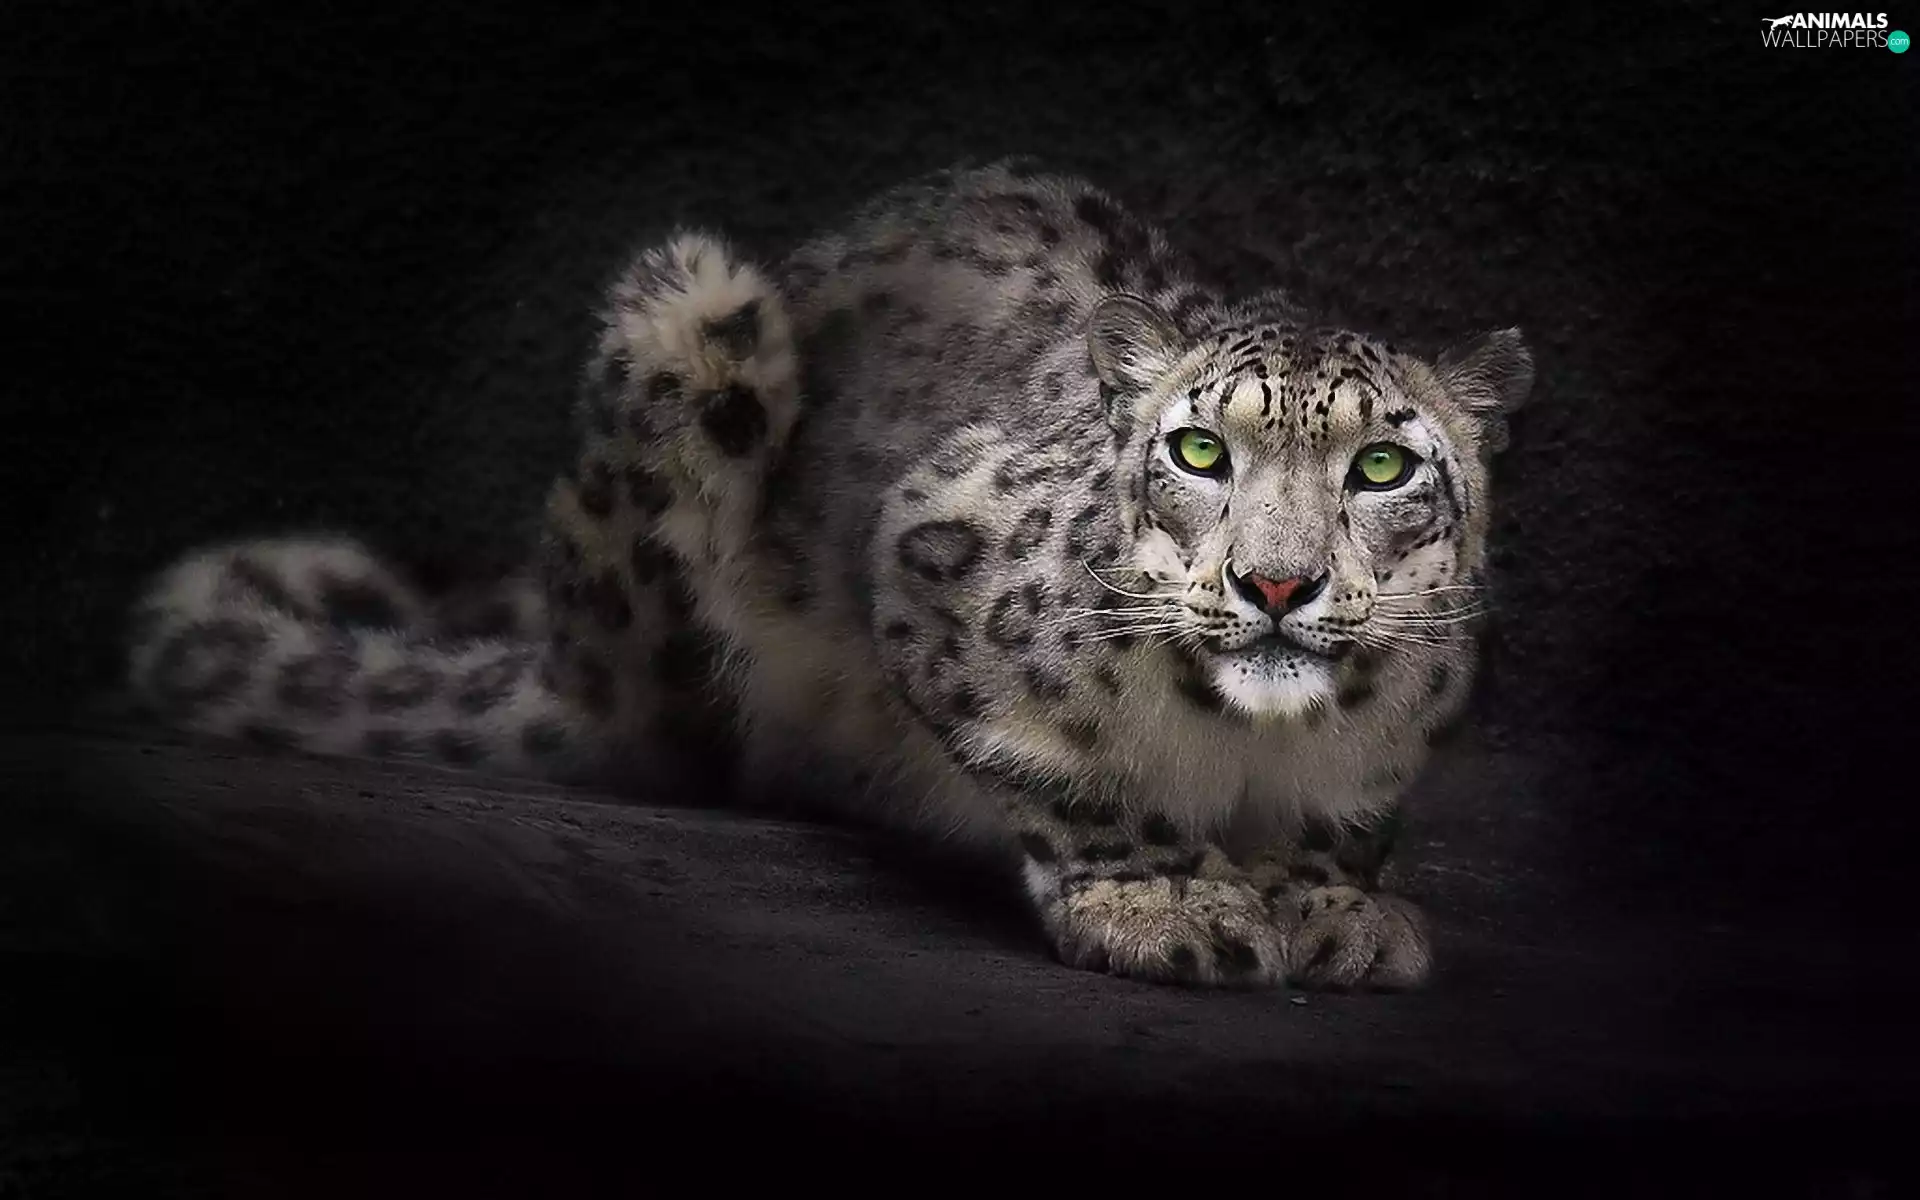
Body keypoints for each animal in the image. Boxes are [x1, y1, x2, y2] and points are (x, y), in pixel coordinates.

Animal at [124, 158, 1535, 991]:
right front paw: (1167, 900)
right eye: (1199, 449)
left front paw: (1335, 908)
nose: (1276, 587)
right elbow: (1062, 771)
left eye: (1382, 468)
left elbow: (1348, 818)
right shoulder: (932, 552)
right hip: (693, 324)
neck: (1251, 745)